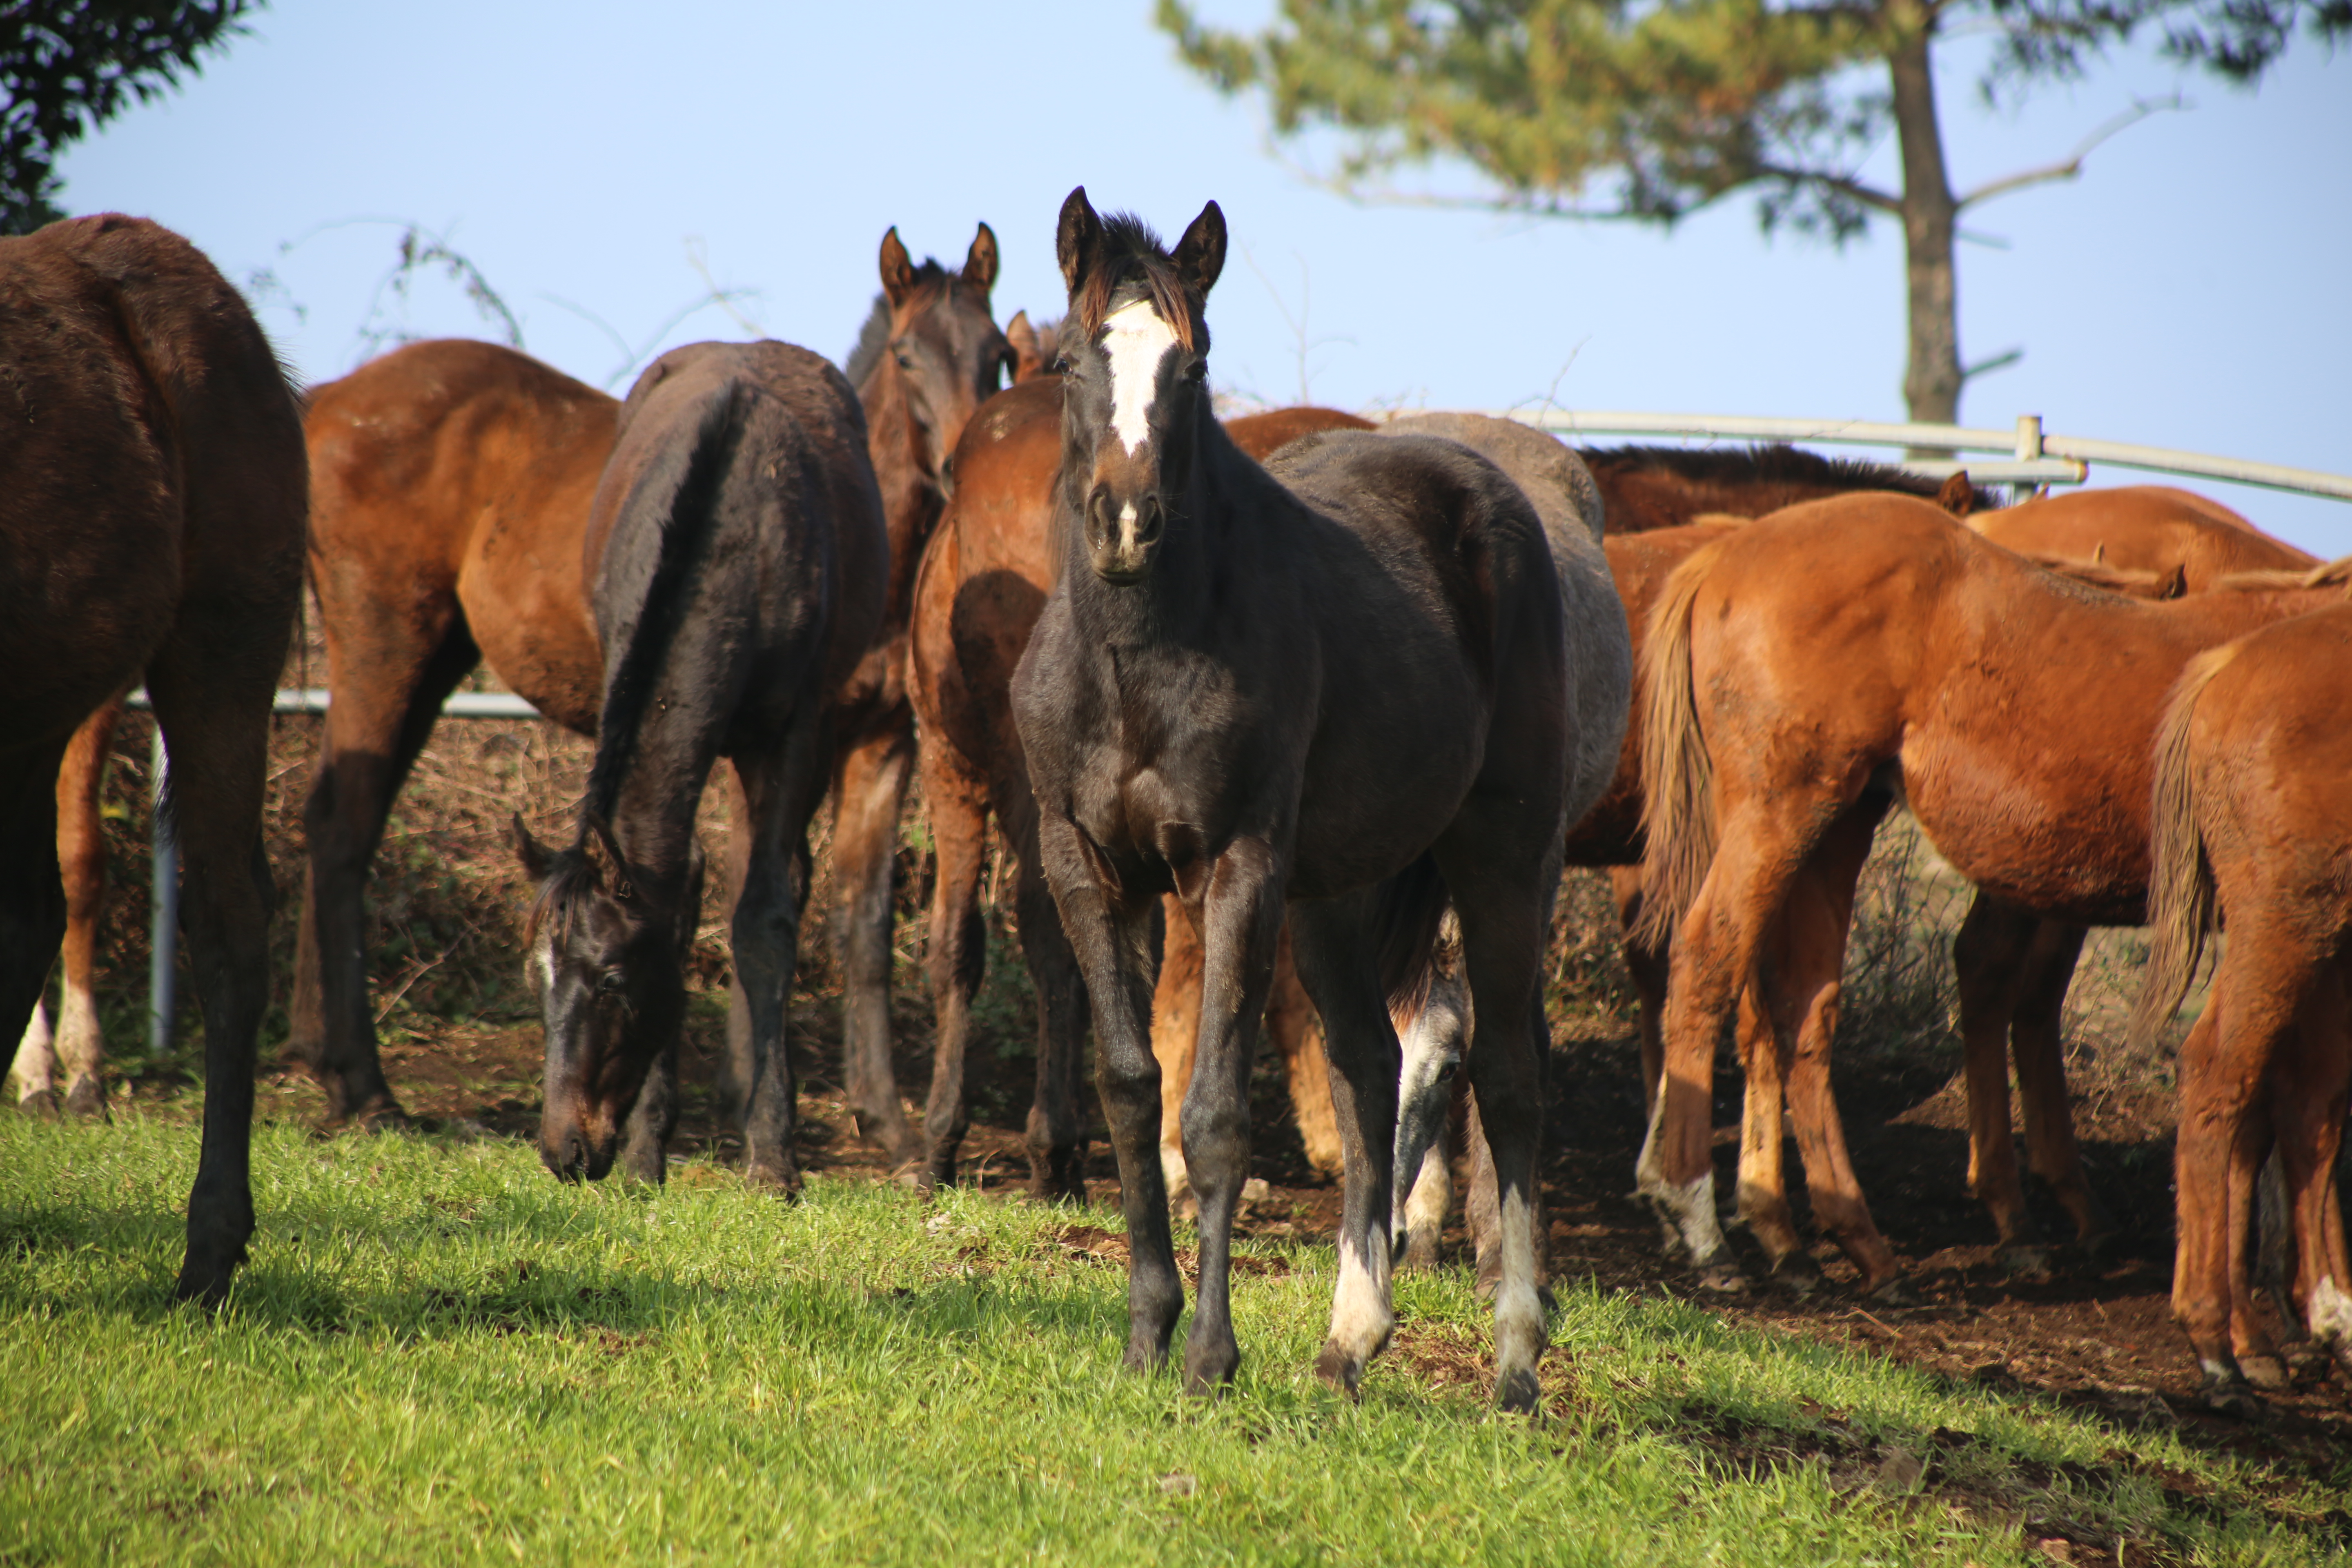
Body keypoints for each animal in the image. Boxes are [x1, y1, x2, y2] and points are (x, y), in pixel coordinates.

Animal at [298, 217, 1007, 1152]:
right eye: (906, 355)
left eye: (999, 353)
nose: (961, 459)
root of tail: (327, 399)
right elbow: (750, 887)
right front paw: (740, 1104)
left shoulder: (872, 741)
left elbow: (853, 917)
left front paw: (875, 1116)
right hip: (385, 644)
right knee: (344, 830)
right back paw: (364, 1087)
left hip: (435, 660)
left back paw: (322, 1064)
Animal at [1637, 493, 2352, 1297]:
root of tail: (1722, 555)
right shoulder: (2289, 921)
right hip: (1779, 818)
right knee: (1709, 962)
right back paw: (1700, 1222)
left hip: (1832, 831)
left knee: (1800, 1010)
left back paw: (1845, 1241)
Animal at [2136, 595, 2352, 1420]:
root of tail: (2226, 668)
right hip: (2288, 924)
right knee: (2221, 1073)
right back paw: (2217, 1346)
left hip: (2316, 938)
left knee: (2302, 1102)